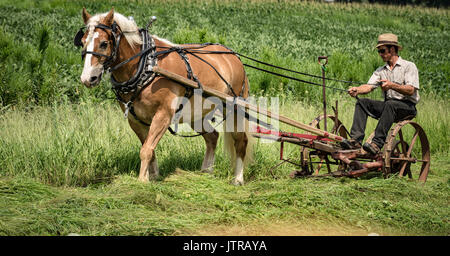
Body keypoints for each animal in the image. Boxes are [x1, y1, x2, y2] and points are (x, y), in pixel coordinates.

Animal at [78, 8, 253, 184]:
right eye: (83, 42)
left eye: (104, 43)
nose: (87, 78)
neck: (147, 66)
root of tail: (233, 56)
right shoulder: (135, 120)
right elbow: (149, 148)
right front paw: (153, 176)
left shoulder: (163, 114)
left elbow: (146, 150)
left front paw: (142, 182)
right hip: (195, 114)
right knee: (212, 137)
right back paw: (206, 171)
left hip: (234, 108)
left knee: (241, 141)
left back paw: (238, 179)